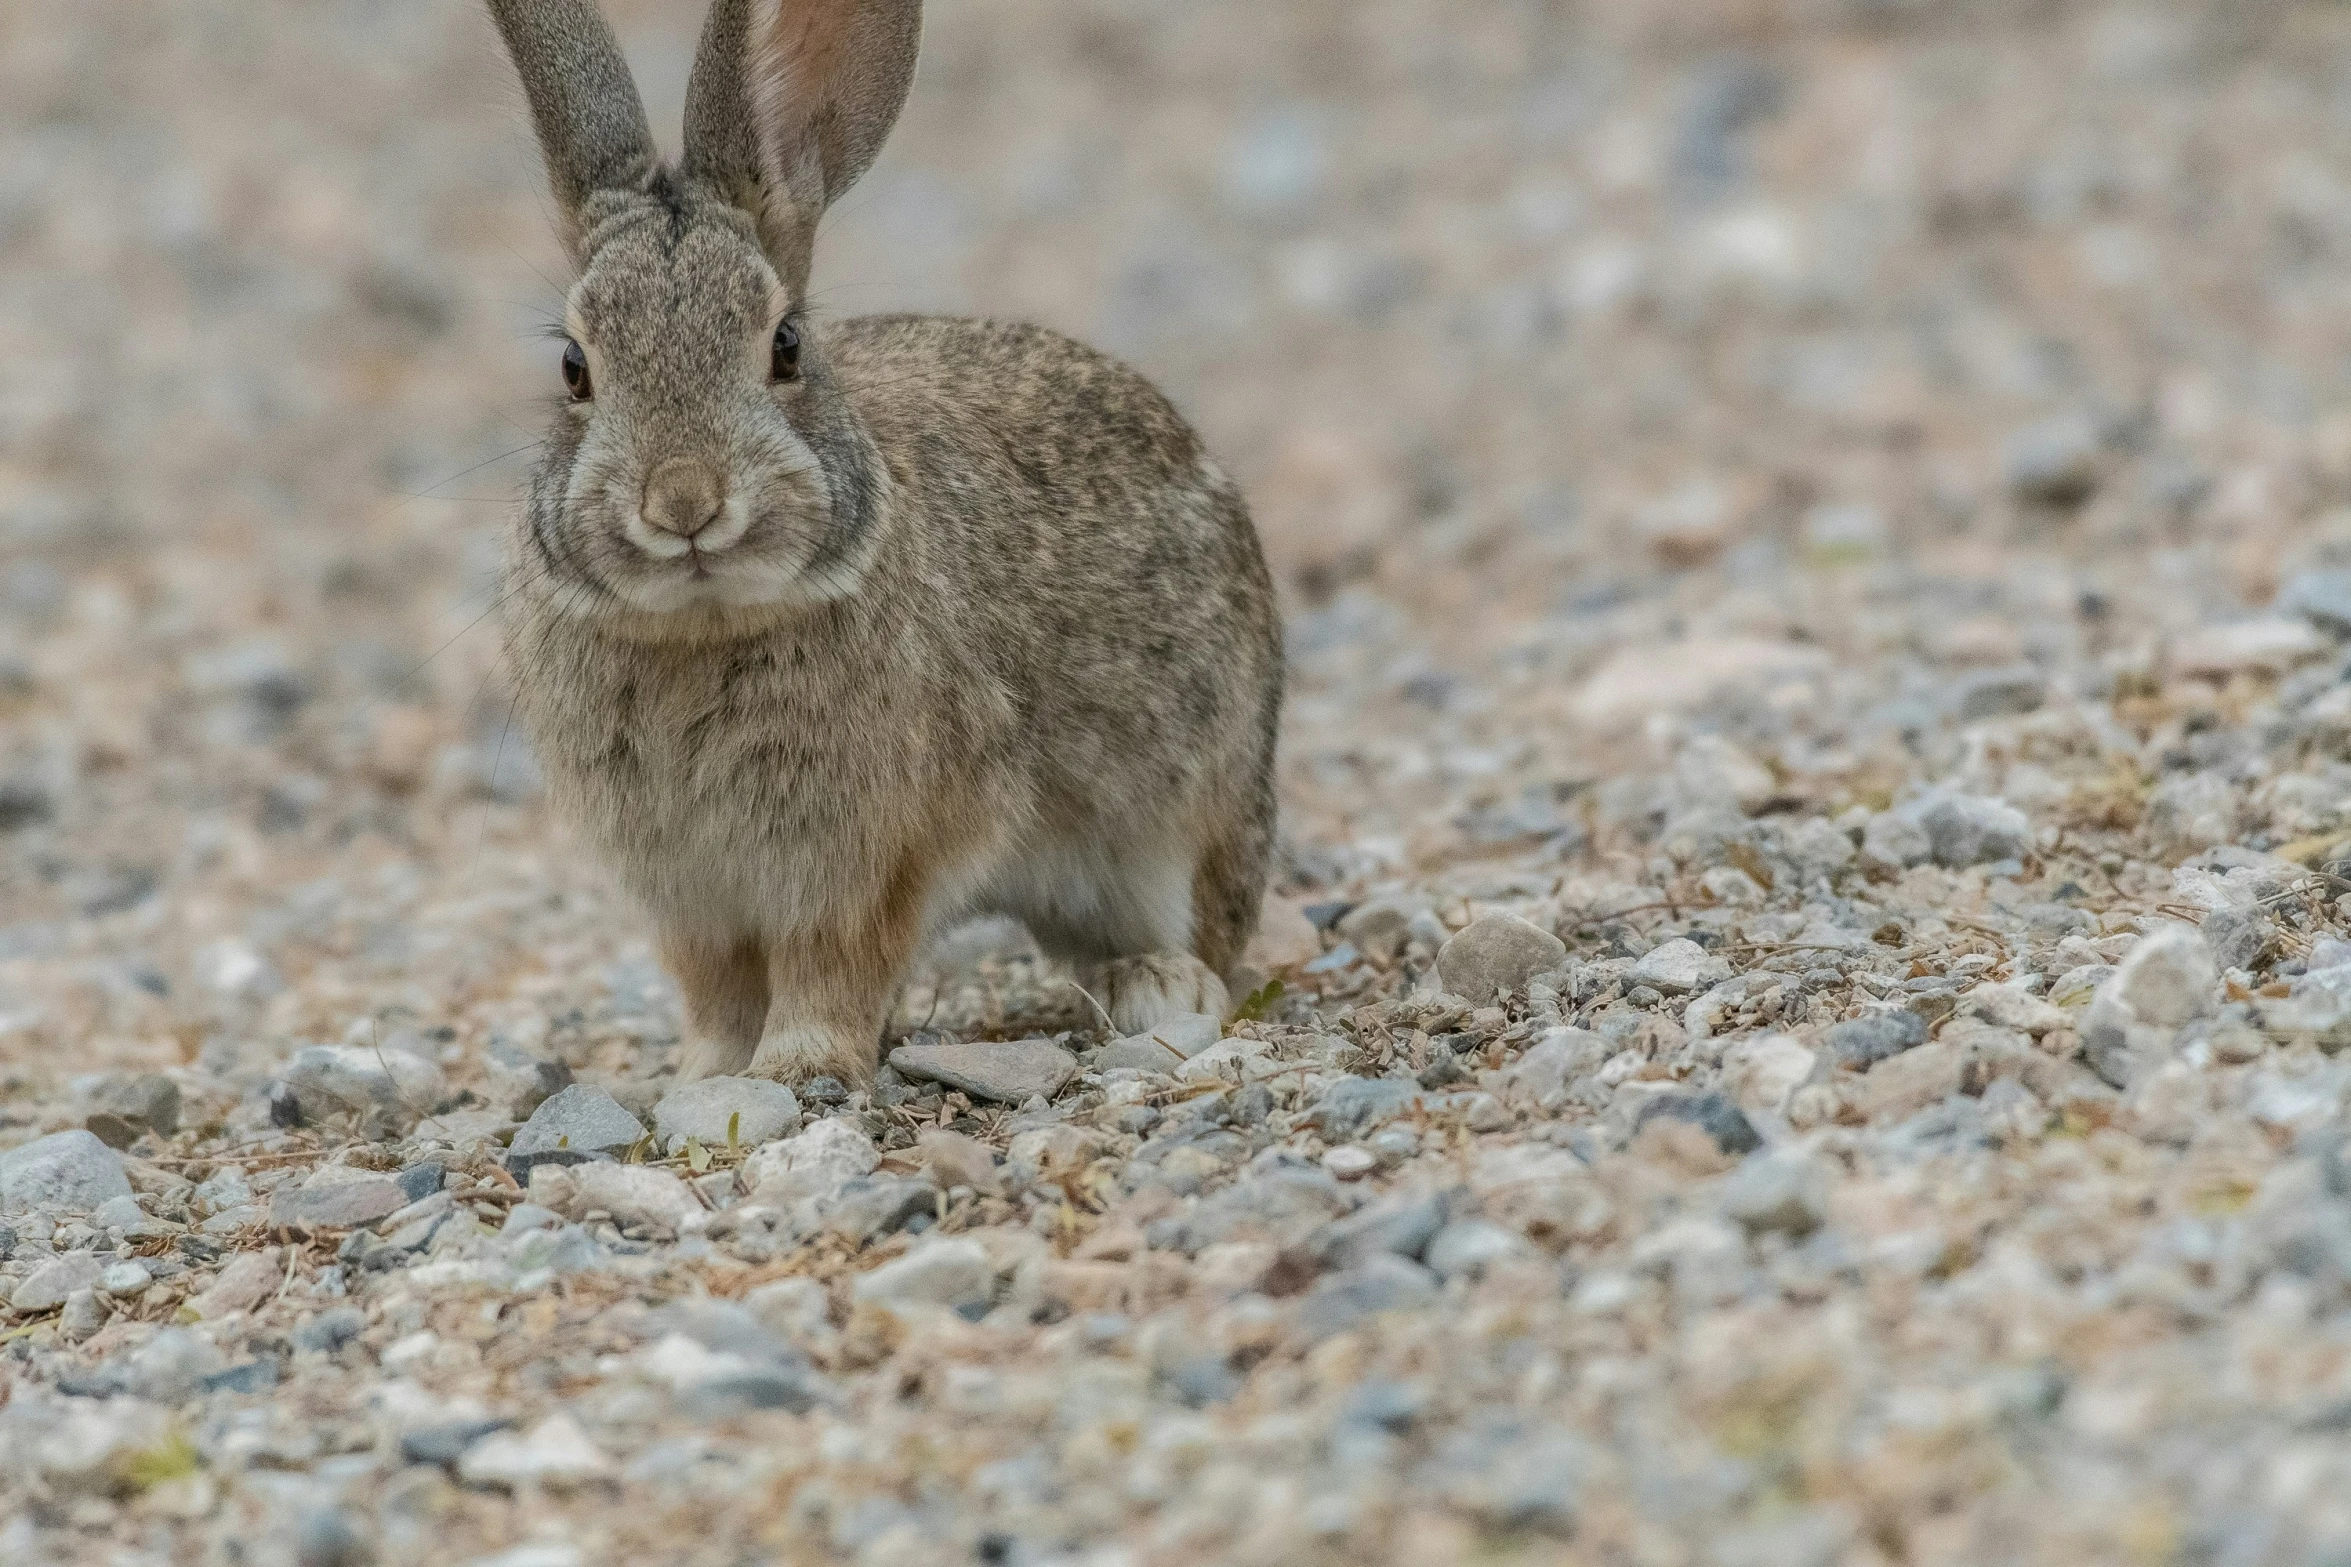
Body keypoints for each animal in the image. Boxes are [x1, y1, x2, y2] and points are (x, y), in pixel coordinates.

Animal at [484, 0, 1278, 1090]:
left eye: (785, 347)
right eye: (573, 367)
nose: (684, 502)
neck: (704, 622)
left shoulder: (870, 859)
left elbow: (831, 964)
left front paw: (795, 1067)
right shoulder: (686, 890)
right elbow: (717, 987)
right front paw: (703, 1075)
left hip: (1184, 814)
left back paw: (1157, 987)